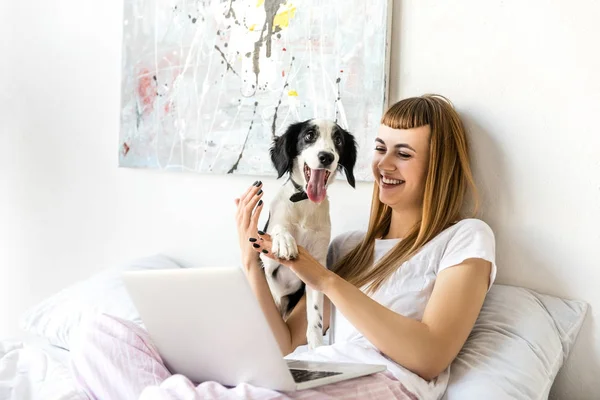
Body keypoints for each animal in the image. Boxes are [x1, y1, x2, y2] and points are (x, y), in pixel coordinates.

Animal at [262, 119, 356, 350]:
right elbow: (279, 229)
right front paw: (285, 241)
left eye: (338, 139)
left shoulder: (316, 268)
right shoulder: (267, 266)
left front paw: (316, 349)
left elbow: (315, 318)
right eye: (309, 135)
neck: (304, 202)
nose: (326, 157)